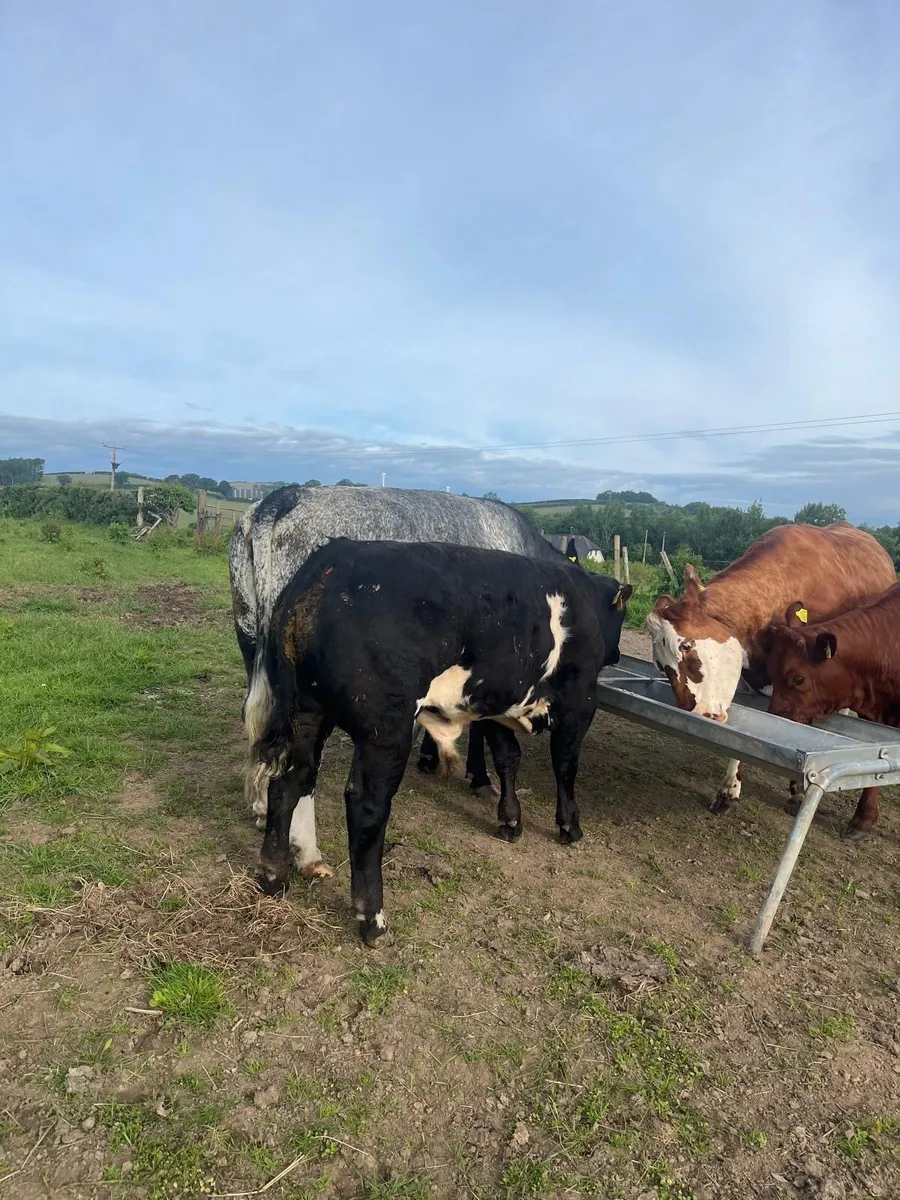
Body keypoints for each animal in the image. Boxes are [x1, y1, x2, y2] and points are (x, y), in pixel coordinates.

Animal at [229, 485, 573, 868]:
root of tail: (283, 497)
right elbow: (497, 740)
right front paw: (490, 792)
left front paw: (439, 760)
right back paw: (306, 850)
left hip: (257, 649)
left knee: (262, 731)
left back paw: (262, 811)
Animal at [247, 538, 632, 944]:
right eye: (621, 616)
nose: (618, 653)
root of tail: (336, 555)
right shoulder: (579, 702)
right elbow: (565, 766)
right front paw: (569, 826)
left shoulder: (495, 703)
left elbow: (507, 758)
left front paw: (510, 820)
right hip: (386, 727)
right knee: (366, 805)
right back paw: (373, 920)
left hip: (308, 710)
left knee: (289, 781)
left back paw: (275, 876)